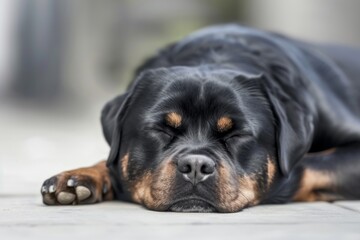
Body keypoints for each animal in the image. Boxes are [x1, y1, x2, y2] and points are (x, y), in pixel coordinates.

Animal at [40, 24, 360, 212]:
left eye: (236, 134)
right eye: (162, 129)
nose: (196, 165)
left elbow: (305, 165)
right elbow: (110, 160)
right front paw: (82, 176)